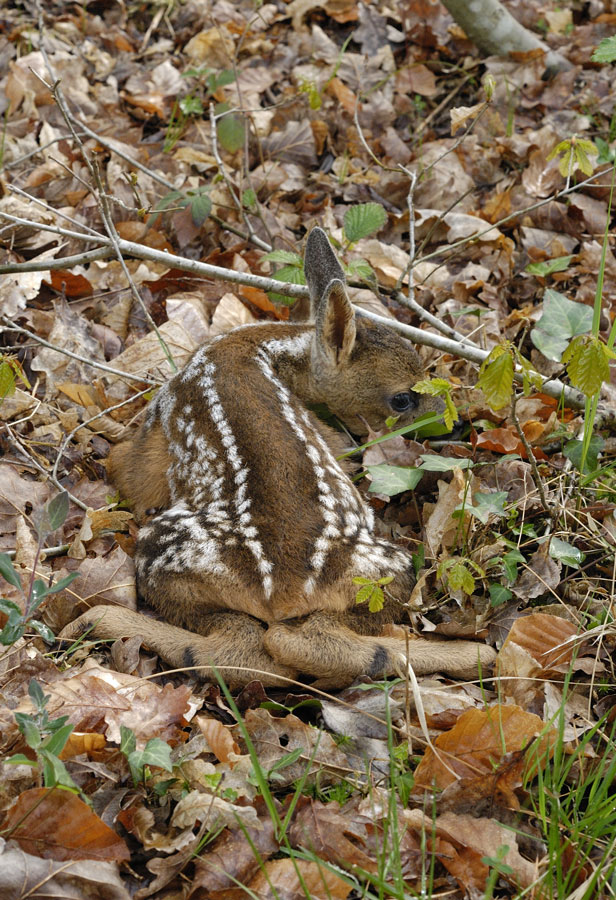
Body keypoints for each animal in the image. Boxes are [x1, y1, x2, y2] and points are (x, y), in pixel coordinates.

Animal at [60, 230, 498, 688]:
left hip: (162, 552)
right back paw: (473, 656)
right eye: (402, 398)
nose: (456, 425)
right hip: (386, 569)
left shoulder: (159, 425)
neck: (266, 347)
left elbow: (124, 466)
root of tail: (285, 592)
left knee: (258, 646)